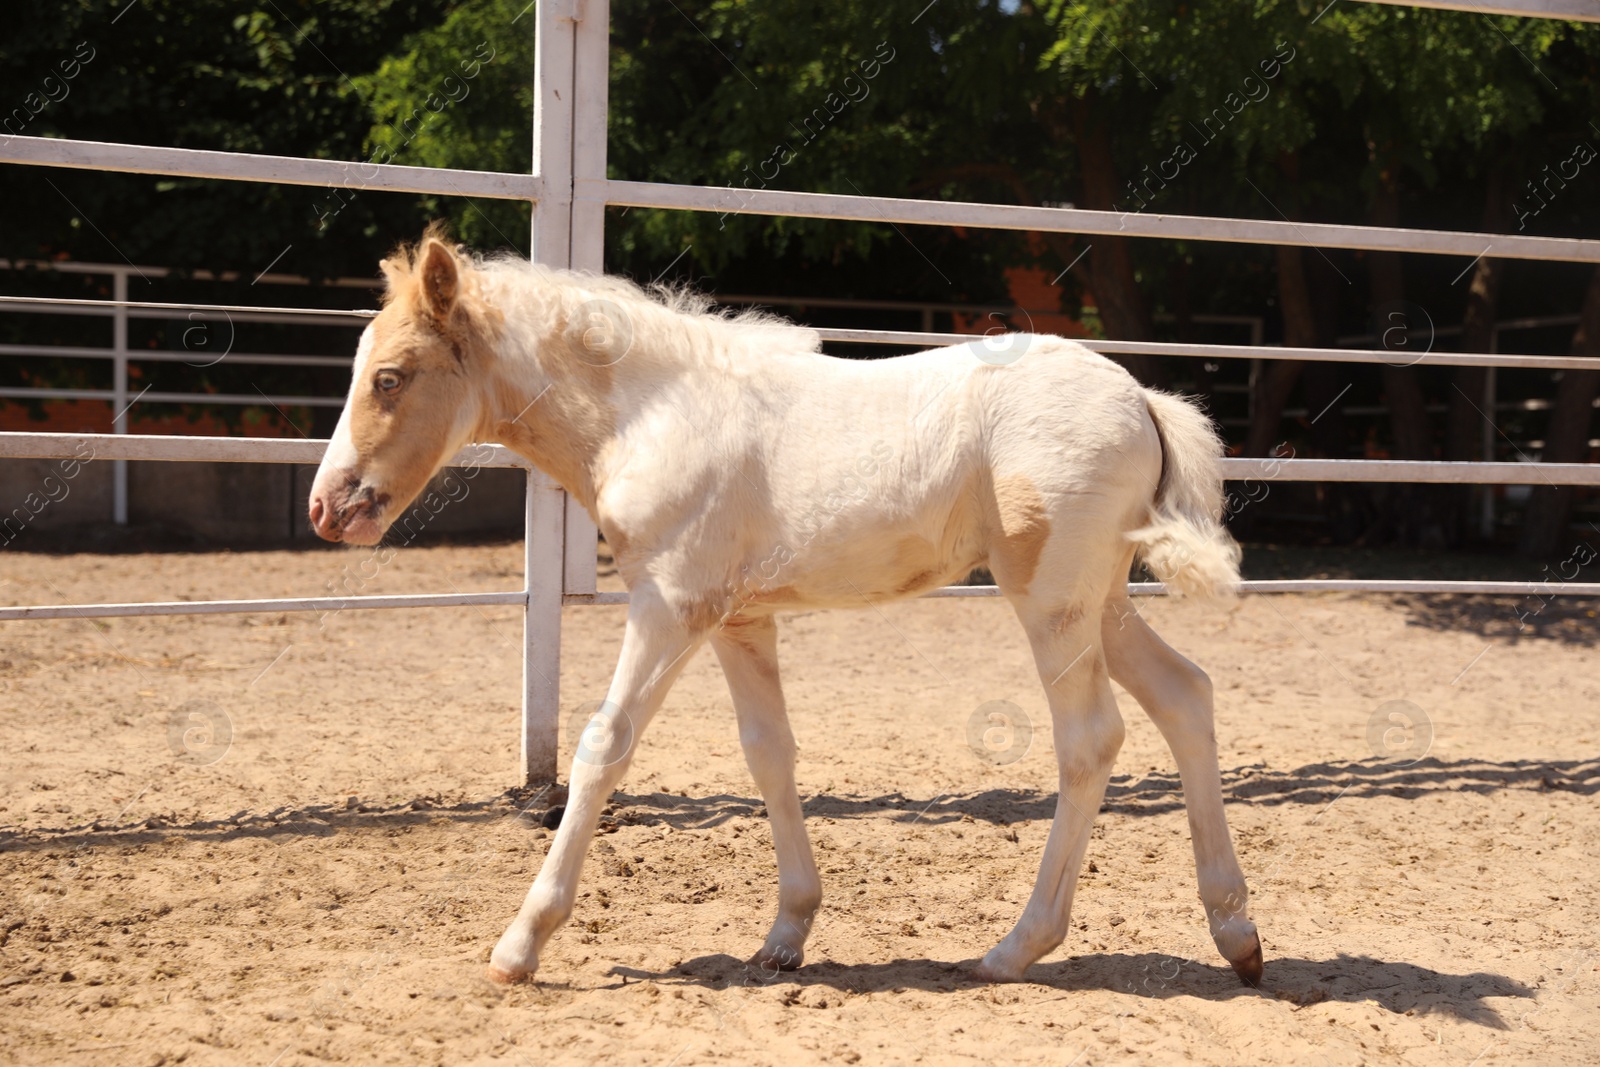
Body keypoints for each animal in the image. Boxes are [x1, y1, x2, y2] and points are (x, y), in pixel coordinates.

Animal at [307, 227, 1264, 988]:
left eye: (390, 377)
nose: (328, 507)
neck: (652, 412)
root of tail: (1142, 398)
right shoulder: (737, 617)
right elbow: (769, 751)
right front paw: (786, 931)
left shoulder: (670, 605)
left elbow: (604, 745)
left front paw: (520, 942)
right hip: (1101, 599)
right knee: (1187, 694)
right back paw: (1237, 935)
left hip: (1052, 597)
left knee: (1090, 737)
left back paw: (1015, 947)